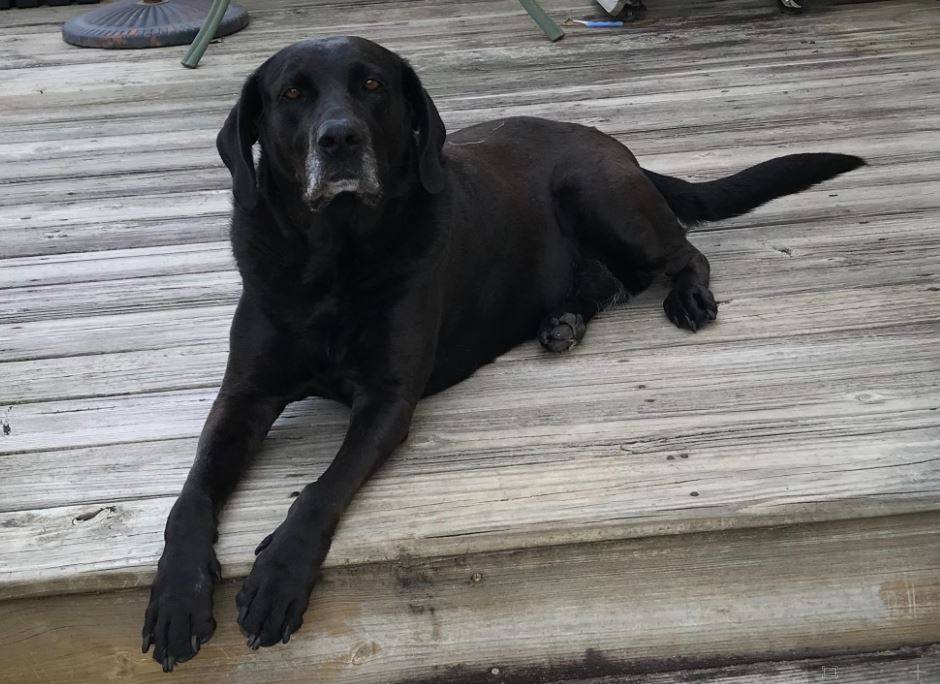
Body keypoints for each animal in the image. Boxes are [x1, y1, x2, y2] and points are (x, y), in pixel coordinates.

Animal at [141, 36, 868, 668]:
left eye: (372, 86)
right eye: (292, 93)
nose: (340, 139)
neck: (332, 258)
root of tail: (614, 145)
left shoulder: (386, 401)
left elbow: (321, 490)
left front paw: (277, 576)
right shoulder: (245, 394)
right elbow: (191, 495)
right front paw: (177, 598)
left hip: (598, 193)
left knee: (686, 252)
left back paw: (685, 299)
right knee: (612, 281)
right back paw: (562, 323)